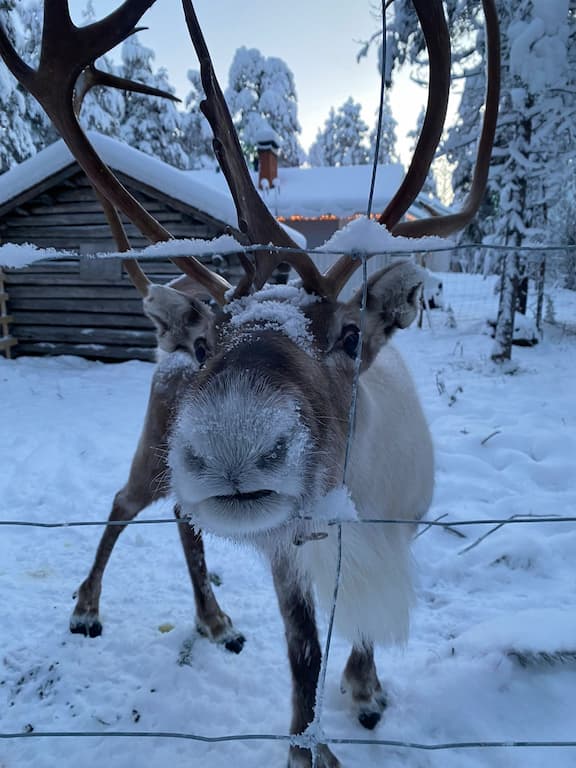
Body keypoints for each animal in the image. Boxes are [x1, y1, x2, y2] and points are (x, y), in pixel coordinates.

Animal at [0, 1, 499, 766]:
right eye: (209, 343)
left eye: (351, 336)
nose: (232, 445)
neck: (357, 506)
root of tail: (166, 315)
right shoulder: (285, 556)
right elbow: (303, 660)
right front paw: (307, 747)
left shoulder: (401, 528)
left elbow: (355, 635)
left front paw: (367, 690)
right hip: (155, 453)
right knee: (122, 503)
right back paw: (87, 609)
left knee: (183, 517)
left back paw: (213, 619)